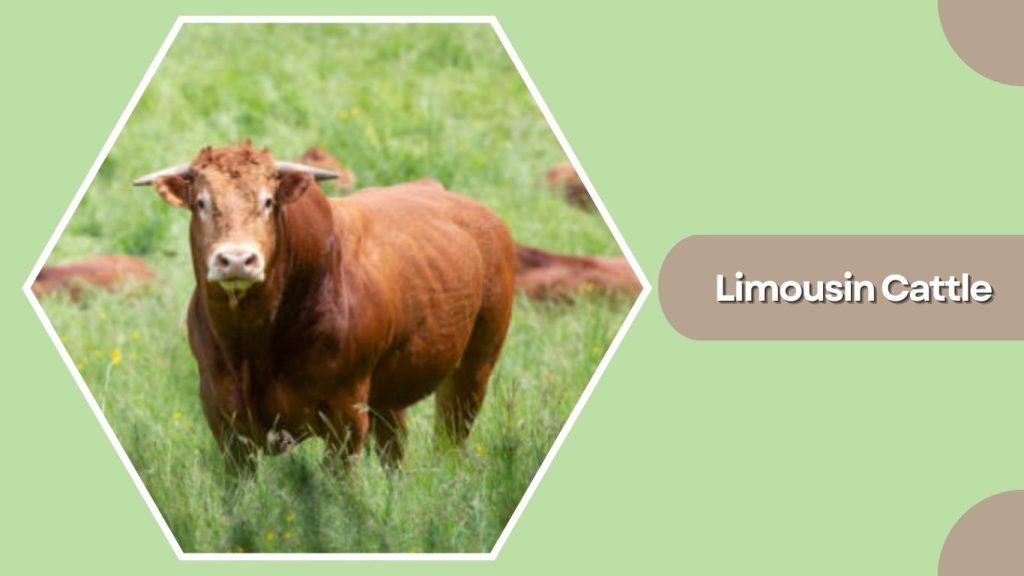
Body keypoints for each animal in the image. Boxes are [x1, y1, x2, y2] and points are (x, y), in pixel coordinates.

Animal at [133, 142, 516, 471]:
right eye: (201, 202)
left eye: (268, 201)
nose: (237, 260)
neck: (253, 343)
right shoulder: (223, 417)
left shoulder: (346, 415)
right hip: (390, 397)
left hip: (474, 368)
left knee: (448, 443)